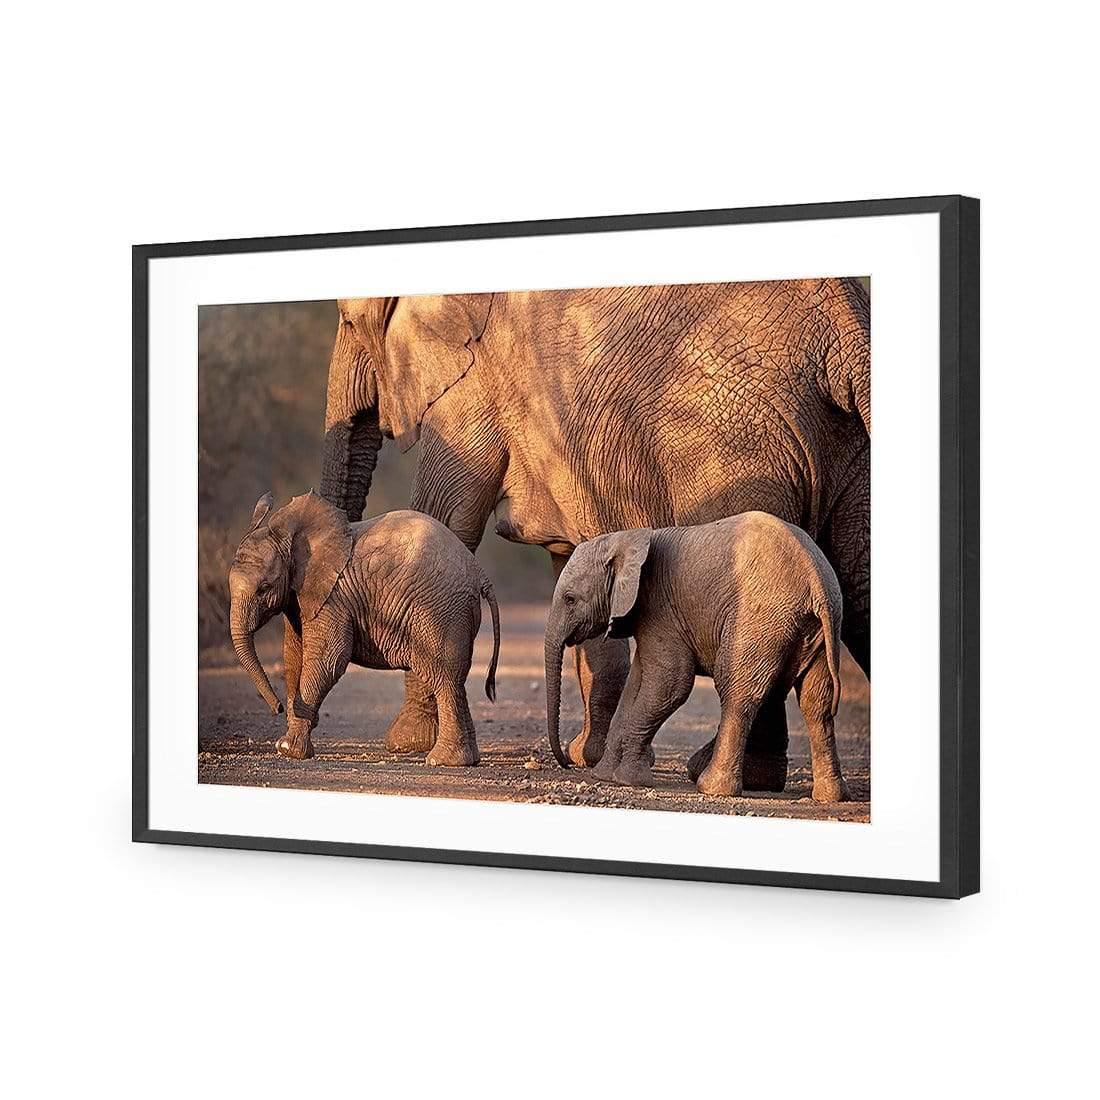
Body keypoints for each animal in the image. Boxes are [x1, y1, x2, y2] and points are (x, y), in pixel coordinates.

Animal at [229, 490, 501, 765]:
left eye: (264, 588)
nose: (278, 707)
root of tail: (479, 572)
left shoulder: (332, 597)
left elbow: (328, 659)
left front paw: (287, 749)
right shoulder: (298, 597)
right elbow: (295, 657)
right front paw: (291, 742)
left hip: (441, 612)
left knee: (444, 677)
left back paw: (442, 760)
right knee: (456, 679)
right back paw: (468, 759)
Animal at [545, 514, 844, 800]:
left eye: (570, 599)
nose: (566, 763)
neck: (628, 539)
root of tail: (815, 578)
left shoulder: (660, 607)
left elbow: (670, 685)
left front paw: (628, 780)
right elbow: (637, 684)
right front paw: (606, 775)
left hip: (759, 620)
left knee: (736, 693)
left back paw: (712, 788)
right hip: (815, 629)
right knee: (816, 703)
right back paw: (829, 796)